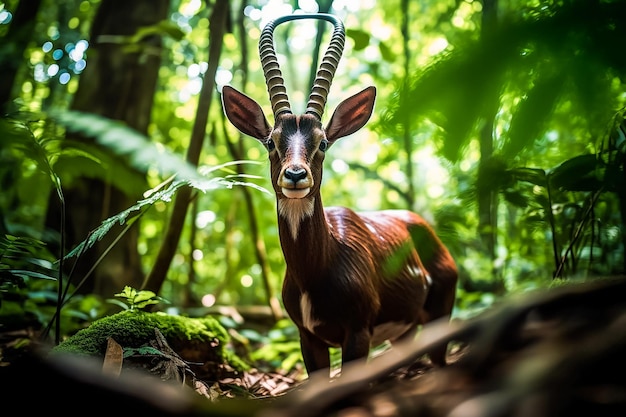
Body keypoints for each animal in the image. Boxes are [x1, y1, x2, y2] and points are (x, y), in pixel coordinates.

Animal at [222, 14, 456, 376]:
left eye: (322, 143)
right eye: (271, 141)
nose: (295, 175)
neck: (315, 272)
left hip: (439, 314)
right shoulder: (308, 338)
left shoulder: (358, 331)